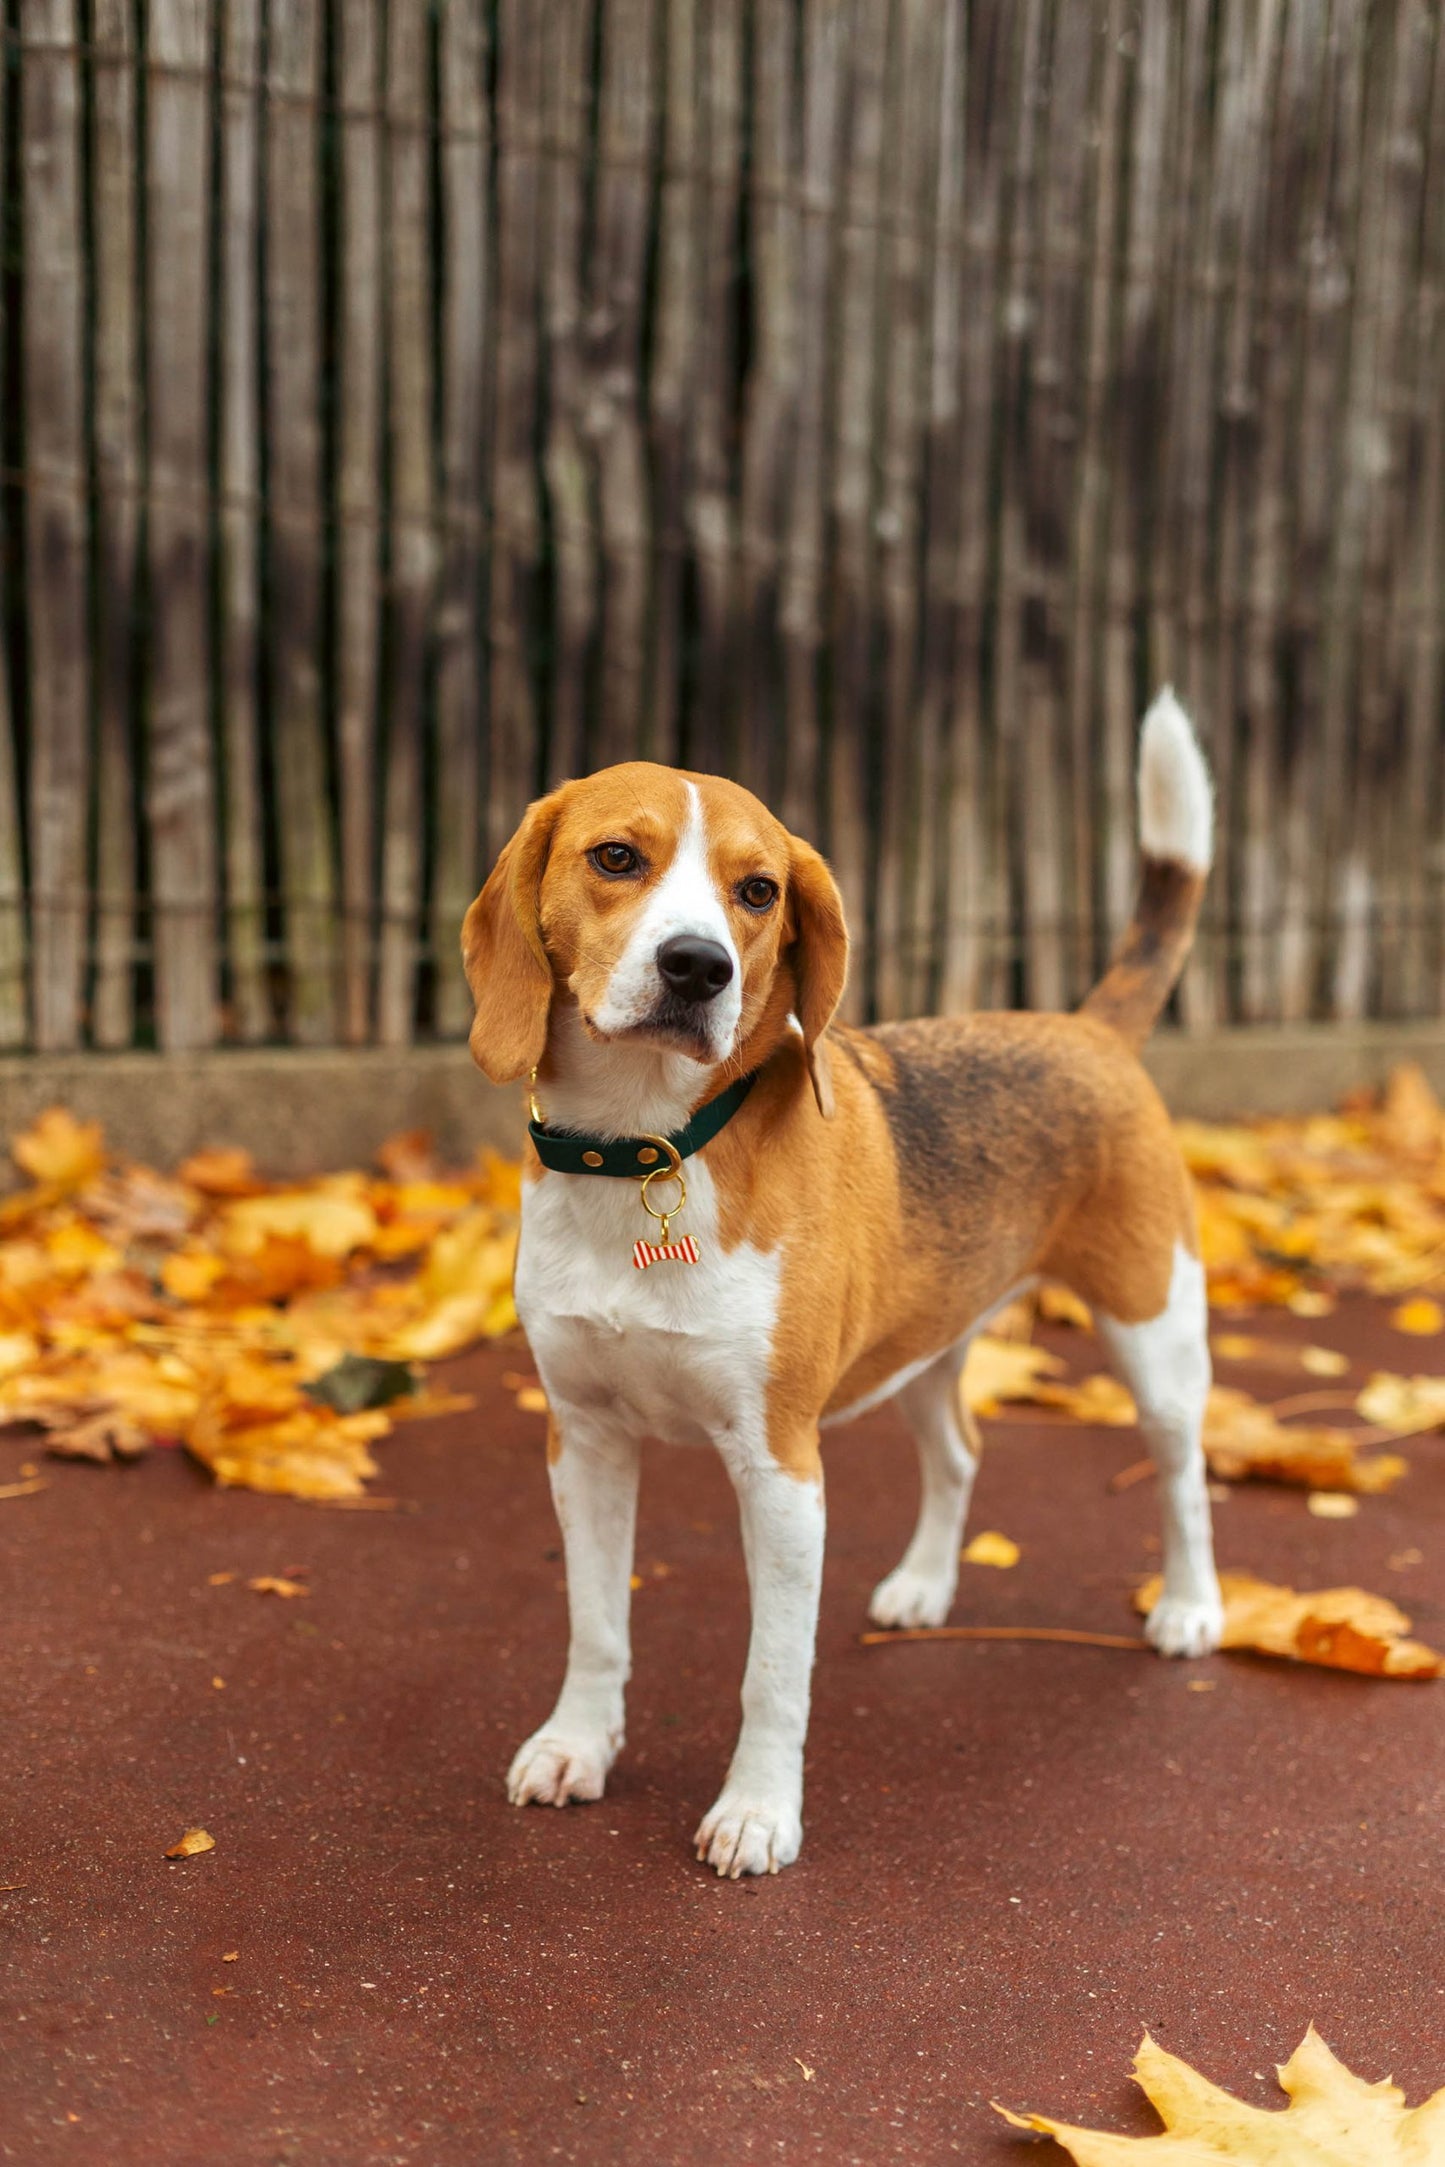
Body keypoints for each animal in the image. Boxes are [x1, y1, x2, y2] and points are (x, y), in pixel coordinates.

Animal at [463, 697, 1221, 1880]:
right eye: (615, 858)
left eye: (758, 891)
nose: (698, 967)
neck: (649, 1151)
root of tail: (1084, 1025)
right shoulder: (582, 1440)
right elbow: (596, 1624)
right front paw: (576, 1745)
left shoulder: (780, 1469)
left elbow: (772, 1672)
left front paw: (757, 1812)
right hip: (925, 1343)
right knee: (959, 1451)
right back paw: (923, 1586)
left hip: (1154, 1329)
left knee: (1183, 1470)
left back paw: (1188, 1606)